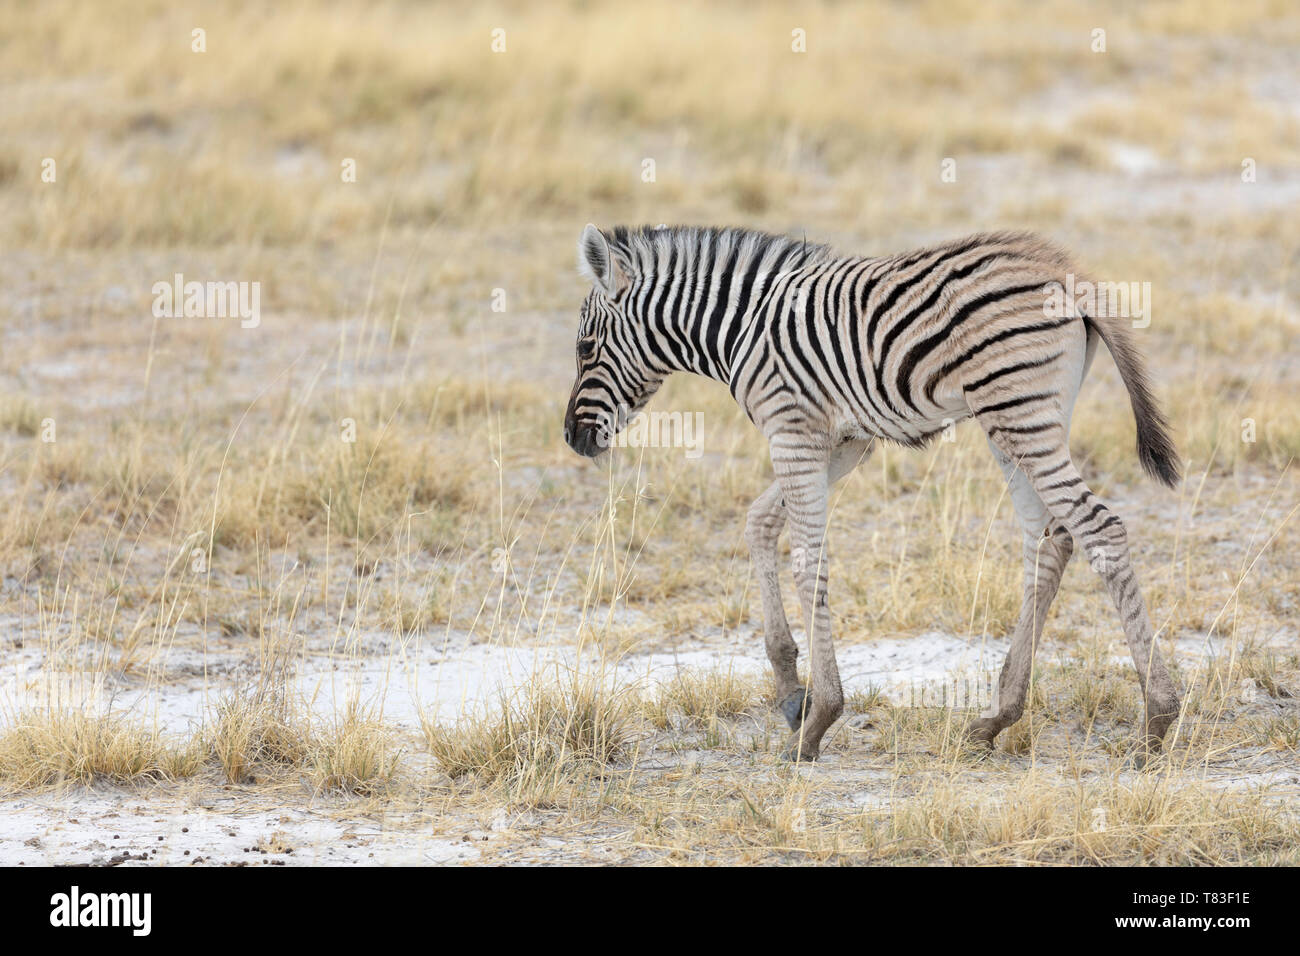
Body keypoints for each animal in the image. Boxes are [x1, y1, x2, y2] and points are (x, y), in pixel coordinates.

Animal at [559, 223, 1180, 764]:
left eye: (585, 348)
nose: (571, 438)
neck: (743, 325)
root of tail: (1067, 273)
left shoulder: (793, 431)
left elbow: (808, 561)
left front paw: (817, 720)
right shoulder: (844, 442)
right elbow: (759, 523)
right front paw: (791, 690)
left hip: (1019, 410)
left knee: (1099, 527)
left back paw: (1157, 719)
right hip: (1020, 420)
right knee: (1050, 538)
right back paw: (997, 716)